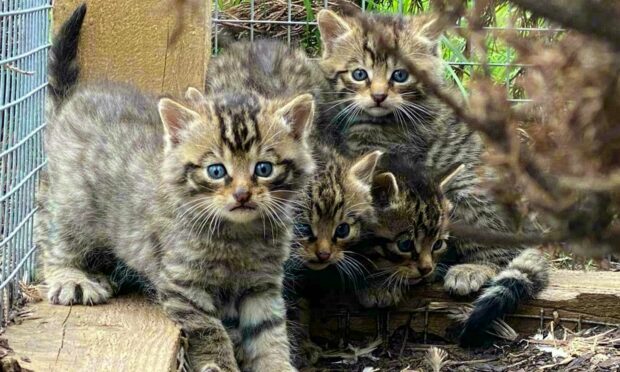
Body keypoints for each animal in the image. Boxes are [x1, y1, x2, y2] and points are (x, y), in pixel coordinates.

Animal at [314, 9, 548, 346]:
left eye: (400, 76)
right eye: (359, 74)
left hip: (469, 193)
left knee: (503, 253)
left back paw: (470, 269)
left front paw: (378, 280)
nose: (379, 96)